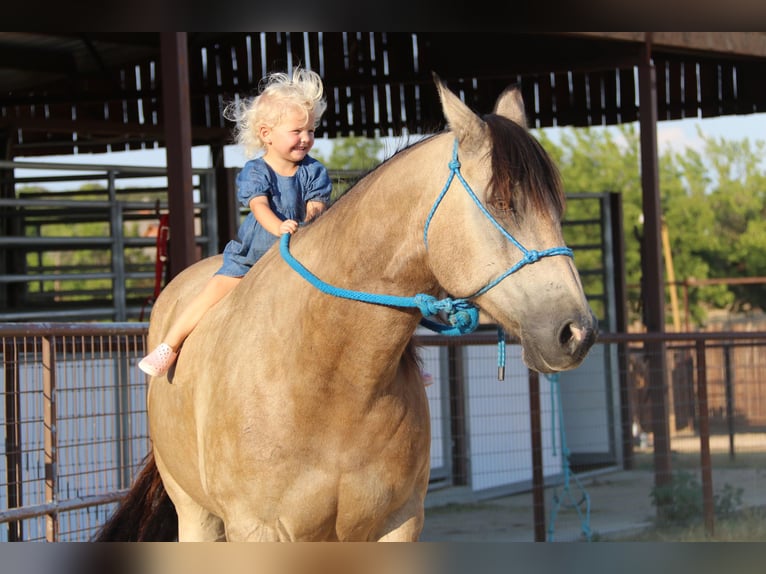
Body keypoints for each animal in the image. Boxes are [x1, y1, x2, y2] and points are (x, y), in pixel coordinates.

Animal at [94, 74, 600, 544]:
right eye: (502, 202)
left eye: (557, 207)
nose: (577, 332)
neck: (330, 374)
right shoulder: (258, 531)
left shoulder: (398, 524)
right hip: (196, 517)